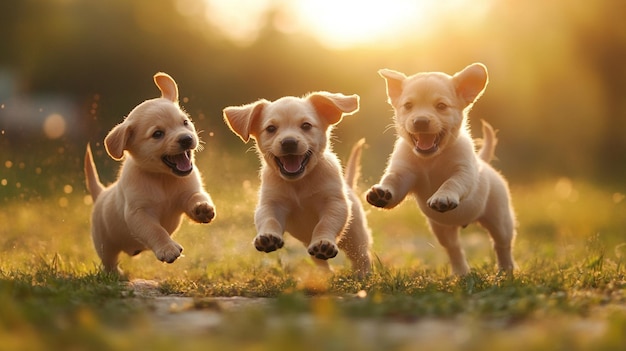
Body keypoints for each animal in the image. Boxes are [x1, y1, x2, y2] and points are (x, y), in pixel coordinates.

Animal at [83, 71, 214, 276]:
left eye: (185, 122)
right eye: (157, 134)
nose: (186, 139)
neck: (163, 177)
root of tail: (101, 194)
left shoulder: (188, 193)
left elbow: (197, 197)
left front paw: (202, 209)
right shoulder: (138, 213)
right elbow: (155, 230)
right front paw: (167, 249)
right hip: (105, 244)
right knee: (109, 261)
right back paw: (117, 275)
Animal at [222, 93, 370, 276]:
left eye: (306, 125)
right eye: (271, 128)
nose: (289, 142)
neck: (299, 183)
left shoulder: (335, 204)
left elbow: (325, 223)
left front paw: (324, 242)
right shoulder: (271, 203)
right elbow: (269, 219)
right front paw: (268, 237)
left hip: (355, 237)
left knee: (362, 257)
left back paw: (362, 275)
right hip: (310, 244)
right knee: (319, 261)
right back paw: (325, 275)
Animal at [364, 64, 516, 276]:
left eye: (441, 106)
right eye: (408, 106)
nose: (420, 121)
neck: (430, 159)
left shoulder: (464, 173)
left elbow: (451, 182)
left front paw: (443, 196)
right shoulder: (403, 173)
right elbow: (392, 180)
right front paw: (381, 193)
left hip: (500, 220)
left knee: (502, 245)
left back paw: (505, 271)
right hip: (441, 229)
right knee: (454, 249)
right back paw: (461, 273)